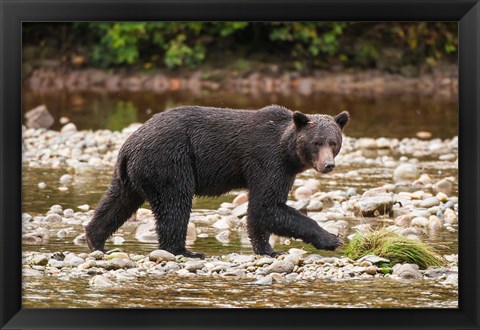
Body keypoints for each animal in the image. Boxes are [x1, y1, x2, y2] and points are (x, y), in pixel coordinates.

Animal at [85, 105, 348, 258]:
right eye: (316, 142)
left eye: (334, 142)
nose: (328, 165)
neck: (288, 152)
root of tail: (128, 147)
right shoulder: (268, 160)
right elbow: (267, 206)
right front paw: (331, 239)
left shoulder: (275, 169)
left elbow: (260, 210)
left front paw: (268, 249)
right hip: (169, 162)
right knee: (175, 204)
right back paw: (184, 251)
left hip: (131, 175)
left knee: (118, 202)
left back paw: (96, 239)